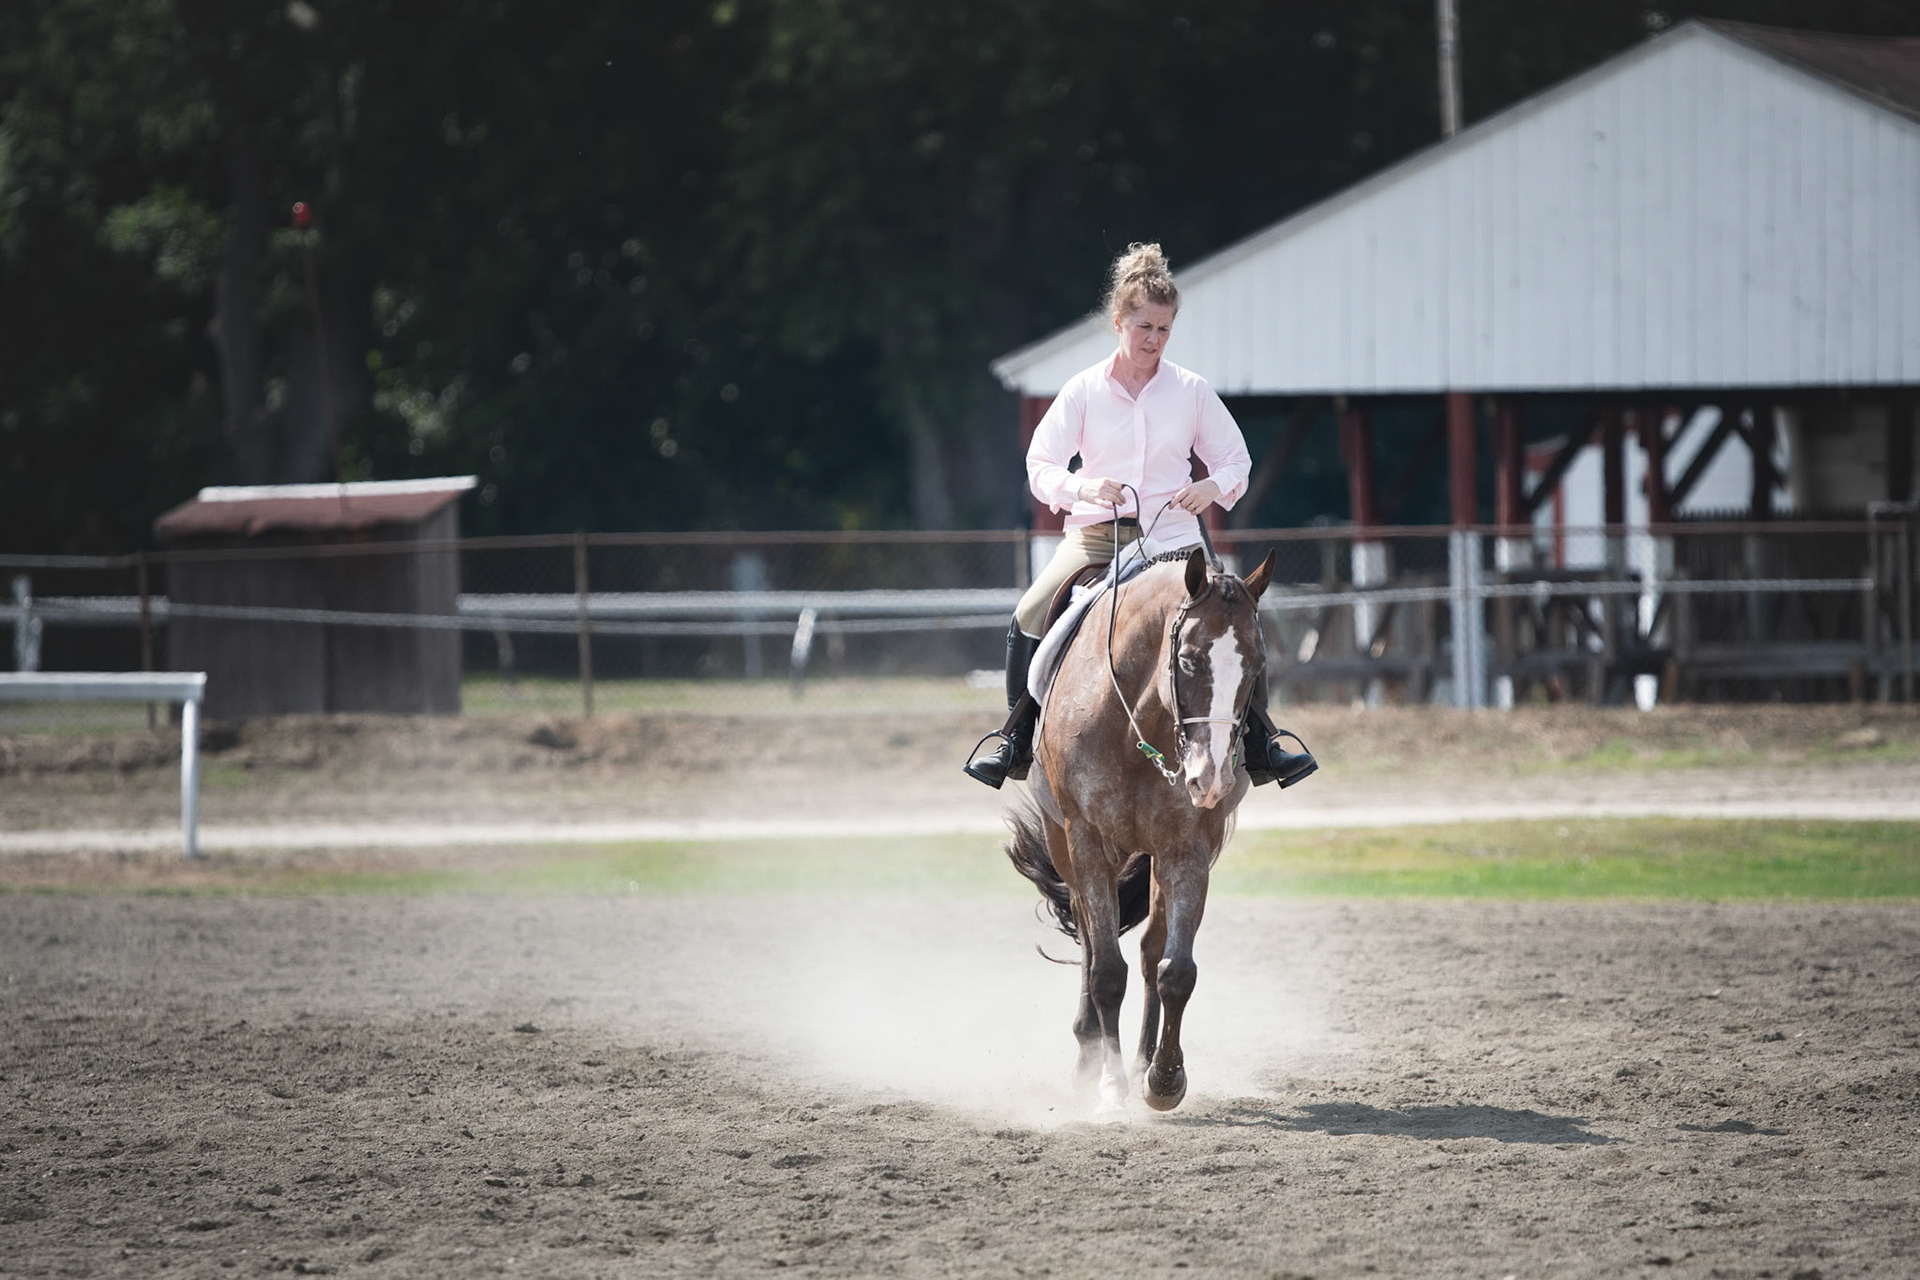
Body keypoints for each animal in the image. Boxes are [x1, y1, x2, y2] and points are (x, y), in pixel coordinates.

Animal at [1006, 544, 1276, 1114]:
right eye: (1188, 659)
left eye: (1257, 667)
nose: (1211, 778)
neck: (1138, 721)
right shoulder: (1085, 839)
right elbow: (1107, 971)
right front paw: (1110, 1091)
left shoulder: (1187, 848)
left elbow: (1176, 970)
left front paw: (1165, 1077)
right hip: (1064, 842)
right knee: (1090, 937)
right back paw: (1089, 1056)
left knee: (1151, 950)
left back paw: (1141, 1060)